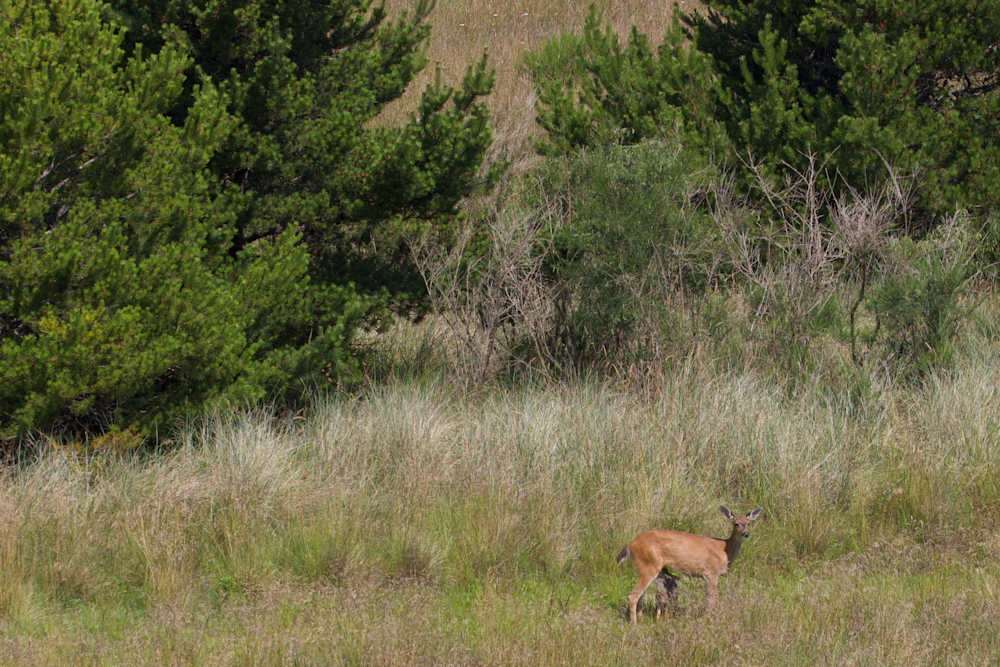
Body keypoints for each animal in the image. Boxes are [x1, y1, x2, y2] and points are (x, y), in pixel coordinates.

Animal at [616, 506, 763, 625]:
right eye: (736, 523)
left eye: (748, 523)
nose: (746, 533)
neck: (724, 550)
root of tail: (631, 545)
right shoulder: (710, 572)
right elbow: (714, 598)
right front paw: (715, 618)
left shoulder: (706, 576)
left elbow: (709, 598)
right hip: (650, 564)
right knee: (633, 595)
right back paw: (634, 624)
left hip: (647, 567)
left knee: (640, 594)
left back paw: (641, 618)